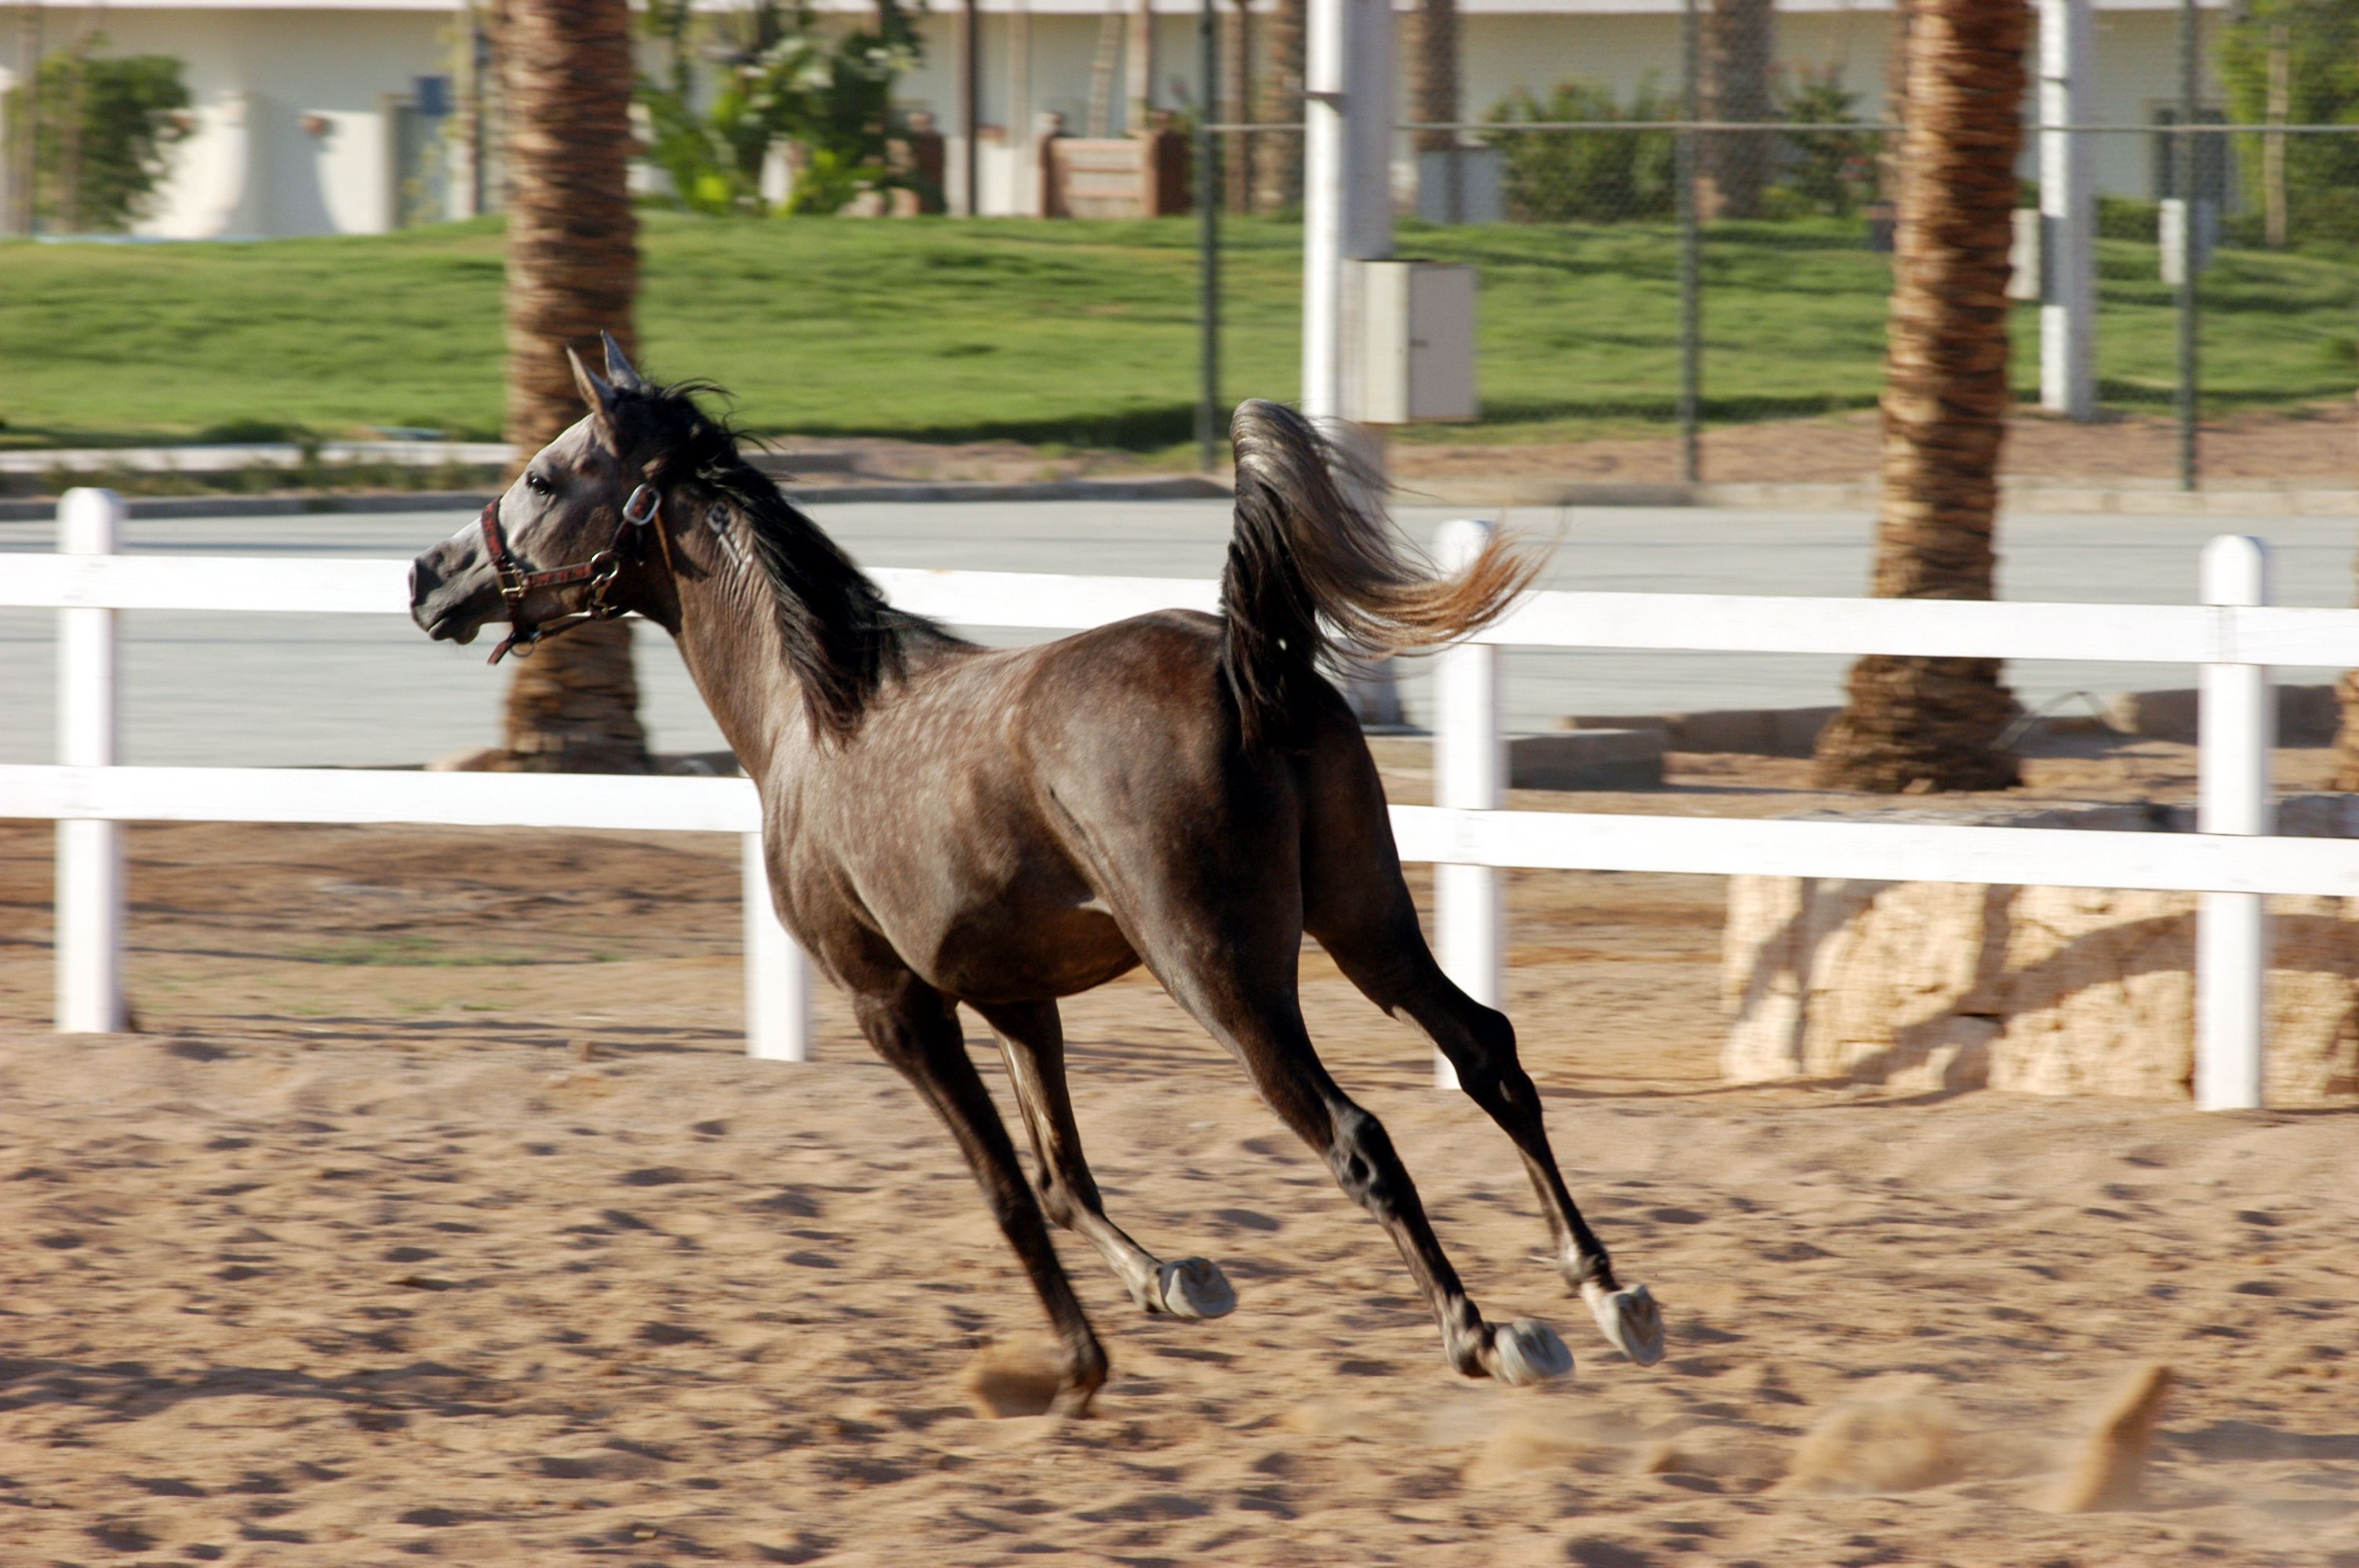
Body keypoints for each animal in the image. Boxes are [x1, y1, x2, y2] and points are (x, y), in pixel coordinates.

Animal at [407, 336, 1665, 1413]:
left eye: (543, 475)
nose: (429, 574)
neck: (815, 721)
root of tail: (1245, 665)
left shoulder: (894, 1006)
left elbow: (1006, 1187)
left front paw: (1073, 1368)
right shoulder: (1017, 995)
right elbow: (1061, 1173)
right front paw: (1175, 1282)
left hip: (1224, 975)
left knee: (1357, 1137)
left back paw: (1488, 1336)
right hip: (1367, 922)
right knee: (1488, 1054)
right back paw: (1609, 1295)